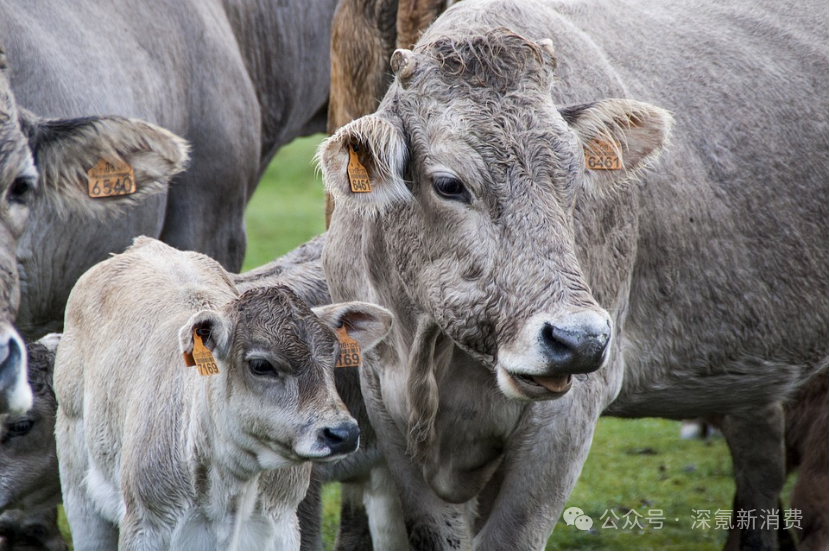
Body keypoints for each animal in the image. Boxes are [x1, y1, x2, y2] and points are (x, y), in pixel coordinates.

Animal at [54, 238, 394, 552]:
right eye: (260, 365)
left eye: (333, 356)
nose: (342, 433)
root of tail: (144, 245)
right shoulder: (145, 527)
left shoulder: (283, 524)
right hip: (77, 488)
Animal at [320, 0, 830, 548]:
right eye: (449, 184)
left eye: (574, 175)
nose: (579, 339)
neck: (429, 352)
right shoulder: (383, 400)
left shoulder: (569, 413)